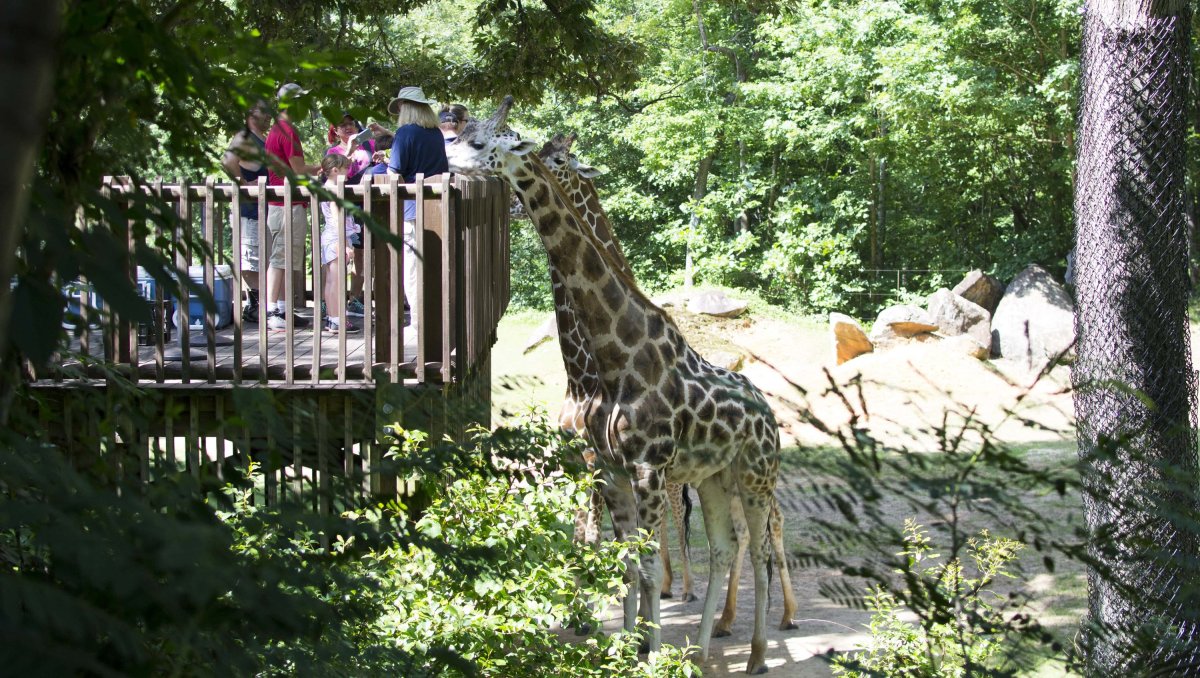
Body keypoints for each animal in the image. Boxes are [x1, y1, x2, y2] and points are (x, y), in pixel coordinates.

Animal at [535, 133, 696, 602]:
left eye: (561, 159)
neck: (580, 376)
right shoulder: (584, 459)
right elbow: (589, 533)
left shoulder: (597, 458)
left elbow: (594, 532)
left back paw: (686, 588)